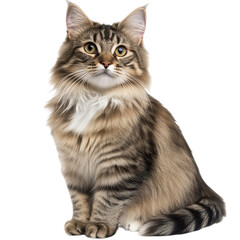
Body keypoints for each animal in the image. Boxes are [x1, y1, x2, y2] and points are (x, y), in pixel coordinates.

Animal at [46, 2, 225, 238]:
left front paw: (99, 225)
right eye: (90, 48)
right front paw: (79, 222)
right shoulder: (73, 165)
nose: (106, 62)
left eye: (120, 51)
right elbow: (79, 198)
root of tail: (204, 186)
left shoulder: (121, 166)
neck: (94, 98)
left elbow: (107, 199)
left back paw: (134, 222)